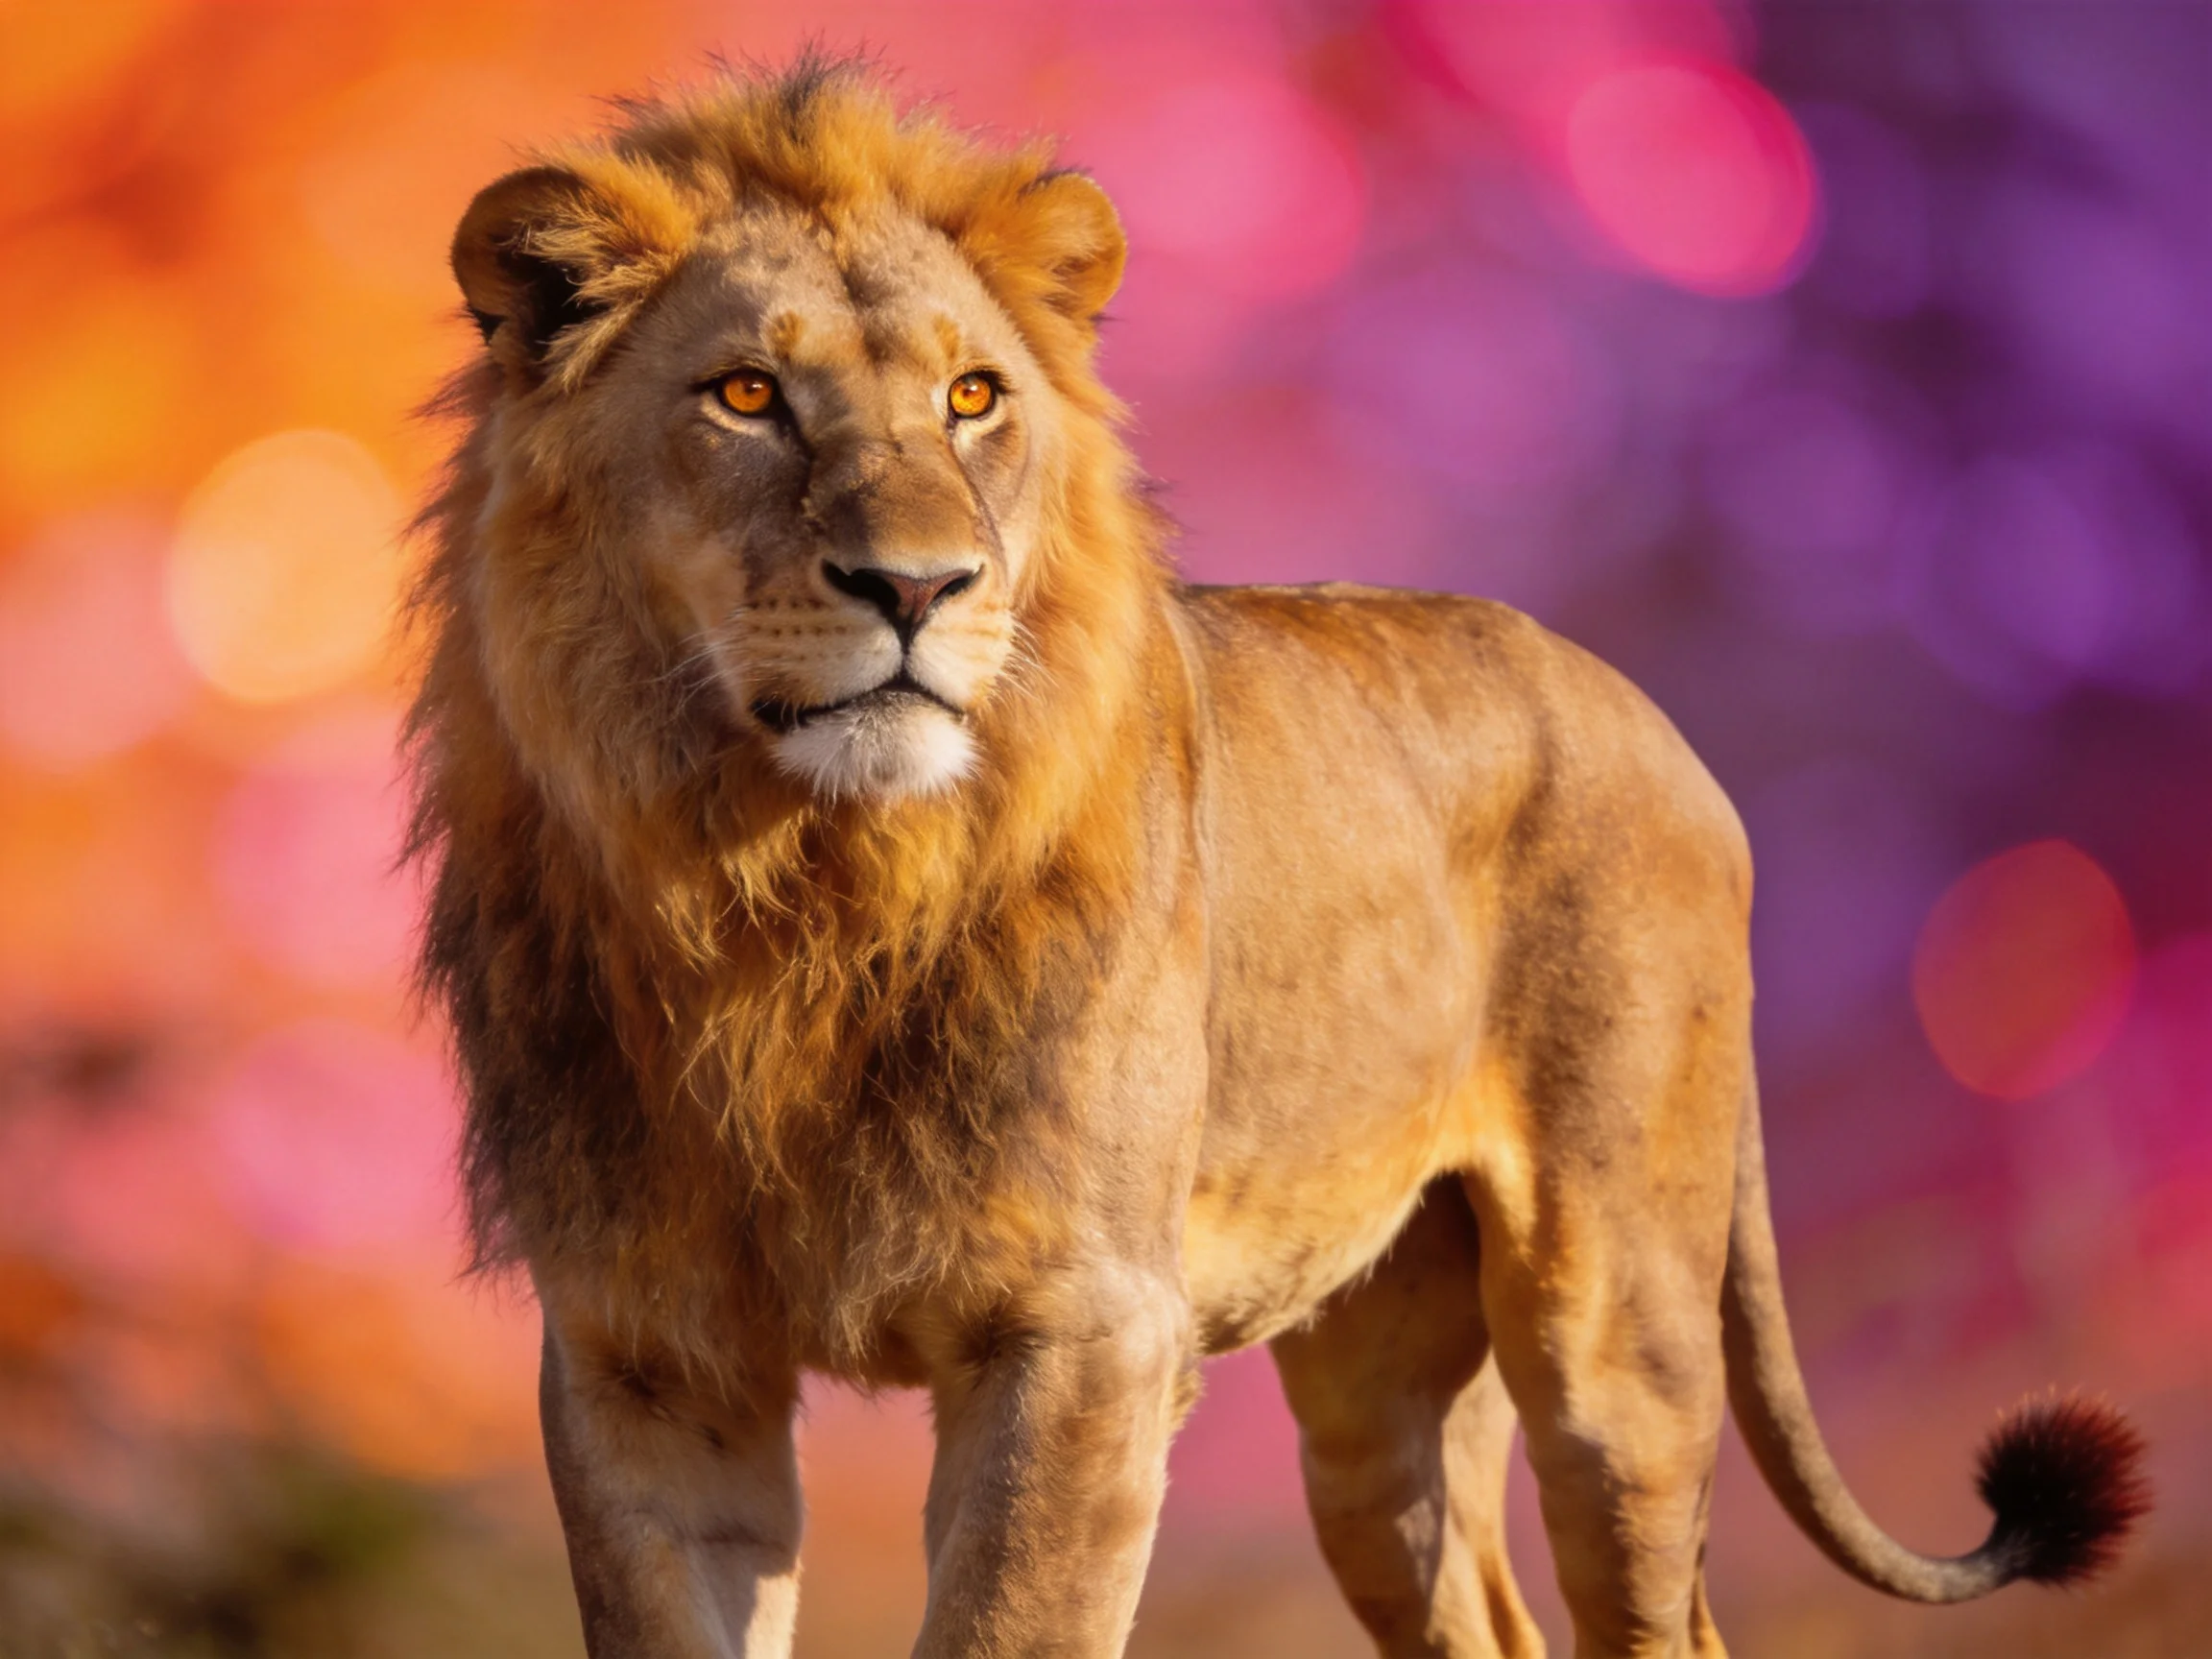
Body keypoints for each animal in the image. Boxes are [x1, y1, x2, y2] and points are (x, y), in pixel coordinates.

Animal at [408, 57, 2147, 1659]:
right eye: (745, 398)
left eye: (972, 398)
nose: (918, 587)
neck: (792, 885)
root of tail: (1652, 718)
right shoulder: (644, 1352)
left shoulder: (1084, 1329)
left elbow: (1003, 1626)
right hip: (1377, 1403)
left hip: (1616, 1334)